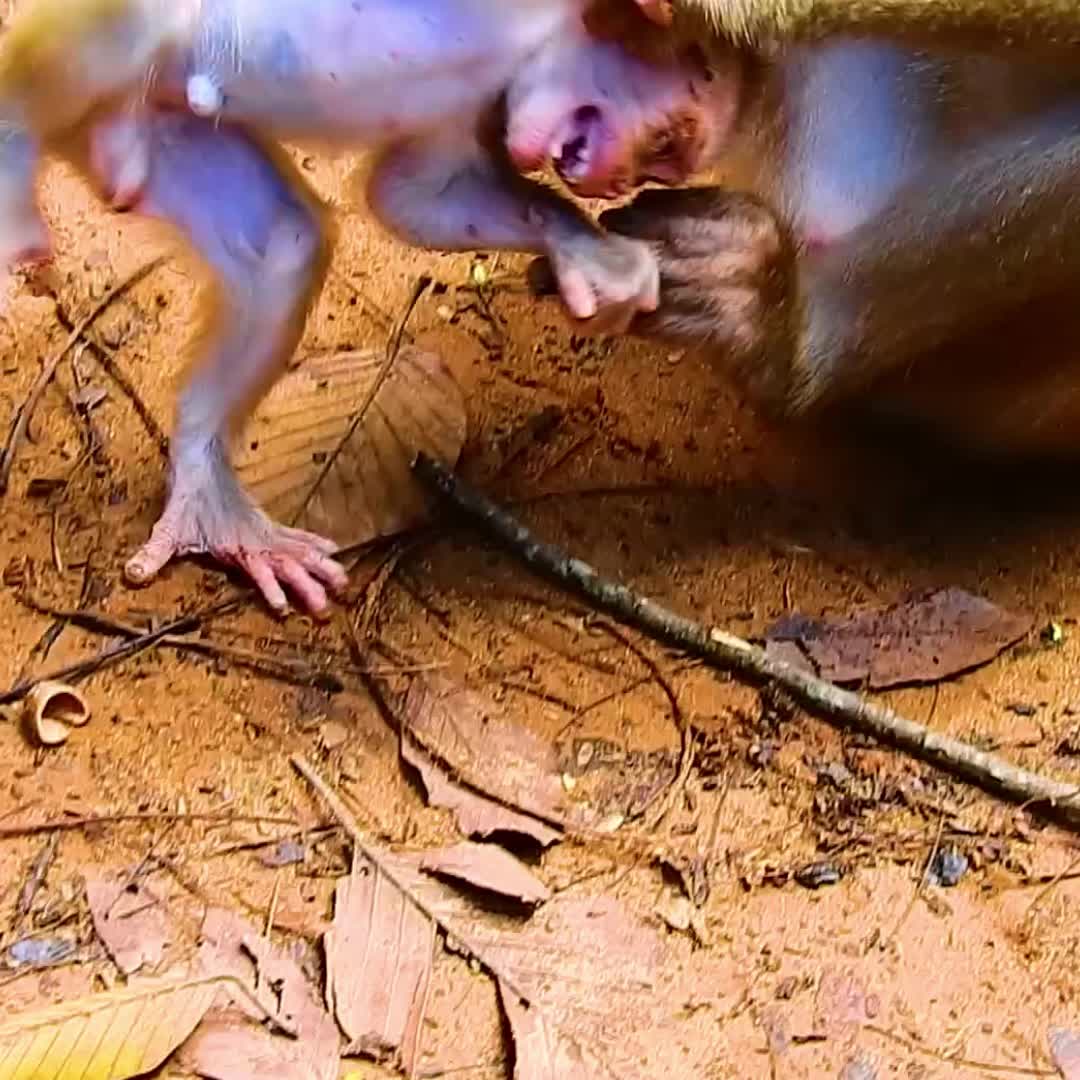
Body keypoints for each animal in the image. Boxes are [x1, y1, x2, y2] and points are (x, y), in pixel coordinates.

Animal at [0, 0, 737, 616]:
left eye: (668, 160)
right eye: (670, 142)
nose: (631, 181)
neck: (540, 34)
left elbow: (418, 195)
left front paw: (592, 253)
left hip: (152, 121)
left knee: (280, 244)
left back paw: (218, 510)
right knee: (129, 24)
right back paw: (13, 186)